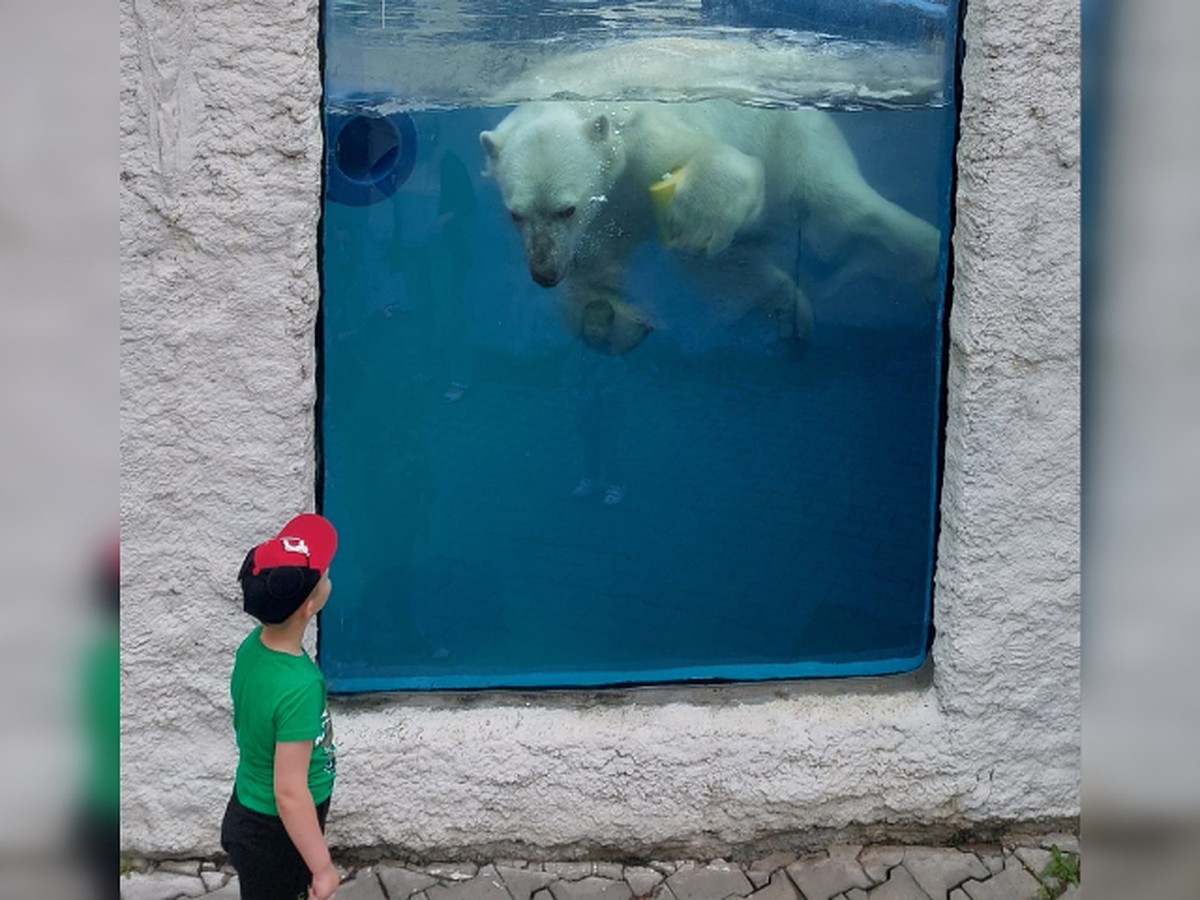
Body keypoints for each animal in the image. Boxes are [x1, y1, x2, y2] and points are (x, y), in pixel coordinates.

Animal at [477, 98, 936, 352]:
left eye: (566, 209)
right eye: (516, 213)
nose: (544, 273)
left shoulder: (642, 145)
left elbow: (713, 164)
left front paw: (695, 227)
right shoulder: (603, 219)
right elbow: (597, 272)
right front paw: (609, 320)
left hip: (793, 136)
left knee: (839, 206)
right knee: (732, 270)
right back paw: (787, 317)